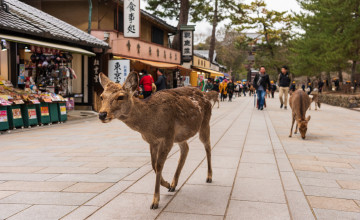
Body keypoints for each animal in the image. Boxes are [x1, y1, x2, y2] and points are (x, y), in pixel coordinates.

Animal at [97, 72, 212, 210]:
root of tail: (206, 95)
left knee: (207, 146)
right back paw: (174, 184)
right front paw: (167, 184)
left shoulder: (167, 137)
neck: (149, 125)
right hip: (180, 136)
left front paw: (155, 201)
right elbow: (154, 165)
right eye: (102, 96)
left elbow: (159, 165)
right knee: (186, 148)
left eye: (120, 97)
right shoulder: (153, 141)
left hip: (205, 123)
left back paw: (209, 177)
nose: (102, 114)